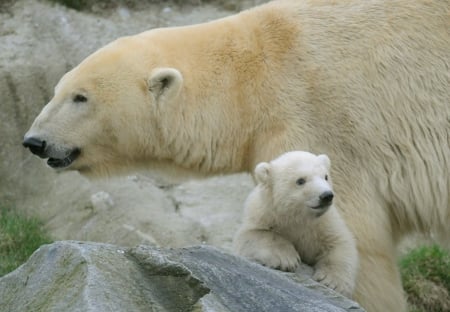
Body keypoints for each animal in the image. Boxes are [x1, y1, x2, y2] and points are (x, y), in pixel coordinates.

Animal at [24, 1, 450, 310]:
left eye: (80, 97)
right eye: (58, 89)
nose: (34, 141)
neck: (254, 71)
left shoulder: (321, 124)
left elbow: (359, 240)